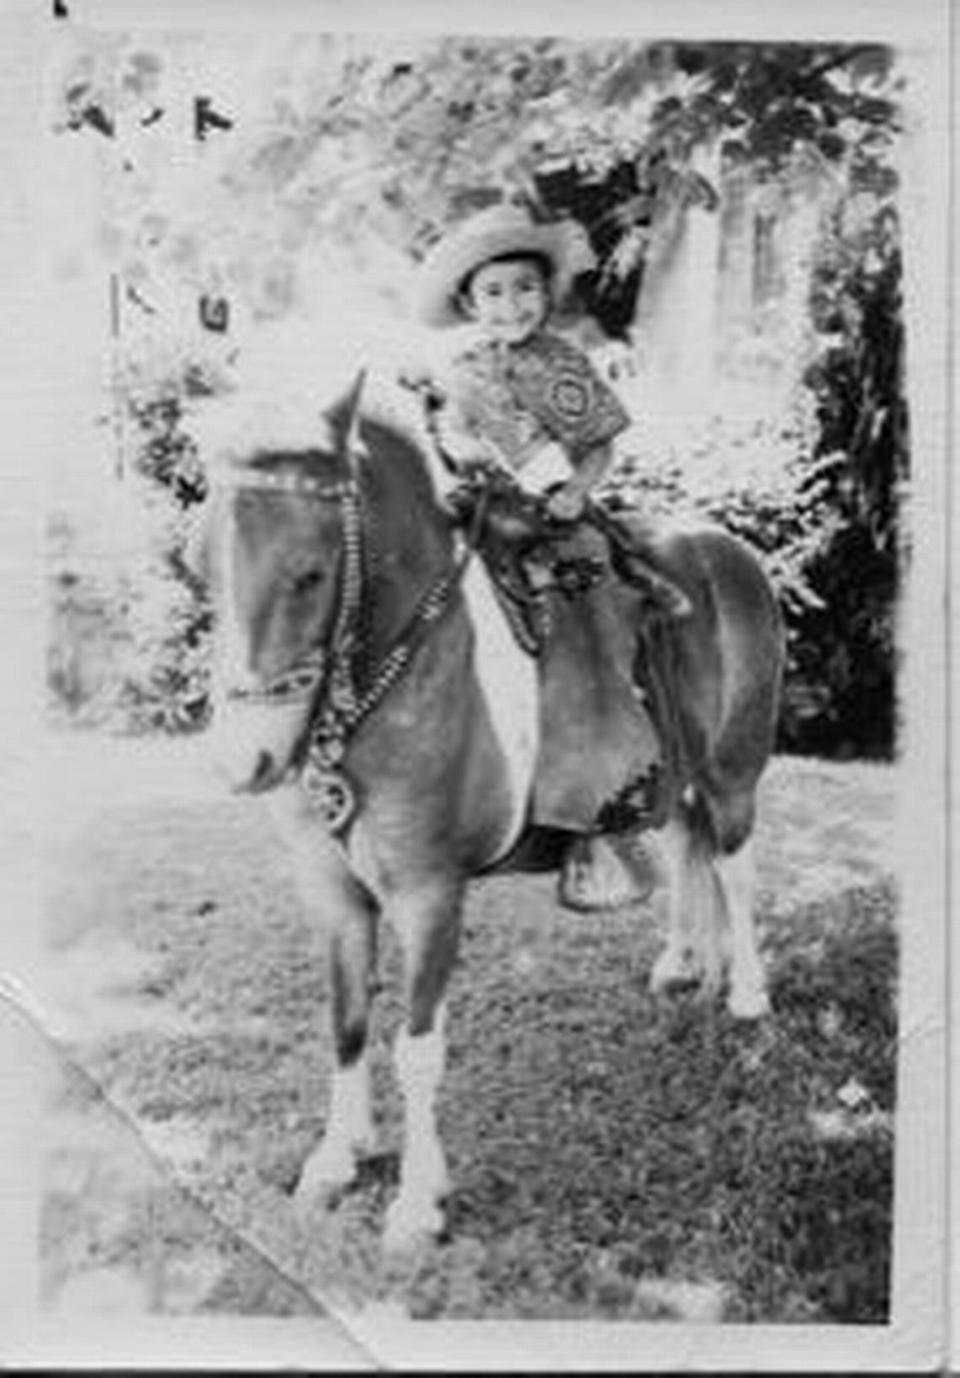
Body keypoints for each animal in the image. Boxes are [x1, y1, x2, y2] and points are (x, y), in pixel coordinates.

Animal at [191, 366, 782, 1251]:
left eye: (310, 574)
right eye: (198, 565)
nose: (245, 759)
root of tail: (725, 549)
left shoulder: (430, 894)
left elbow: (417, 1047)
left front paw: (416, 1202)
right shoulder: (334, 896)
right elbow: (346, 1022)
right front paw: (337, 1158)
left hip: (734, 772)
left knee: (737, 873)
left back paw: (746, 992)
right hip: (677, 778)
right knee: (689, 854)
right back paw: (684, 964)